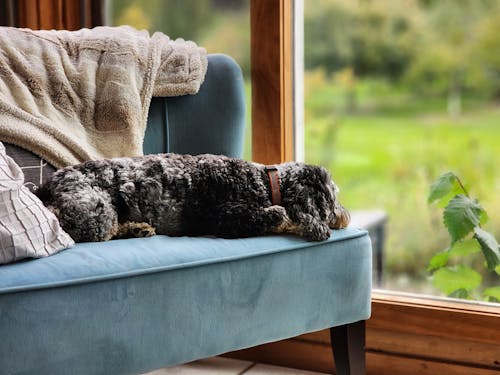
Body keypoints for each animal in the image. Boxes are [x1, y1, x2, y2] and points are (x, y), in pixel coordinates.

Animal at [36, 153, 352, 244]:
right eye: (334, 198)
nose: (346, 216)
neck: (264, 182)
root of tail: (45, 189)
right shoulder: (228, 219)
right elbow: (279, 213)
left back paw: (138, 228)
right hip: (96, 208)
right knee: (94, 234)